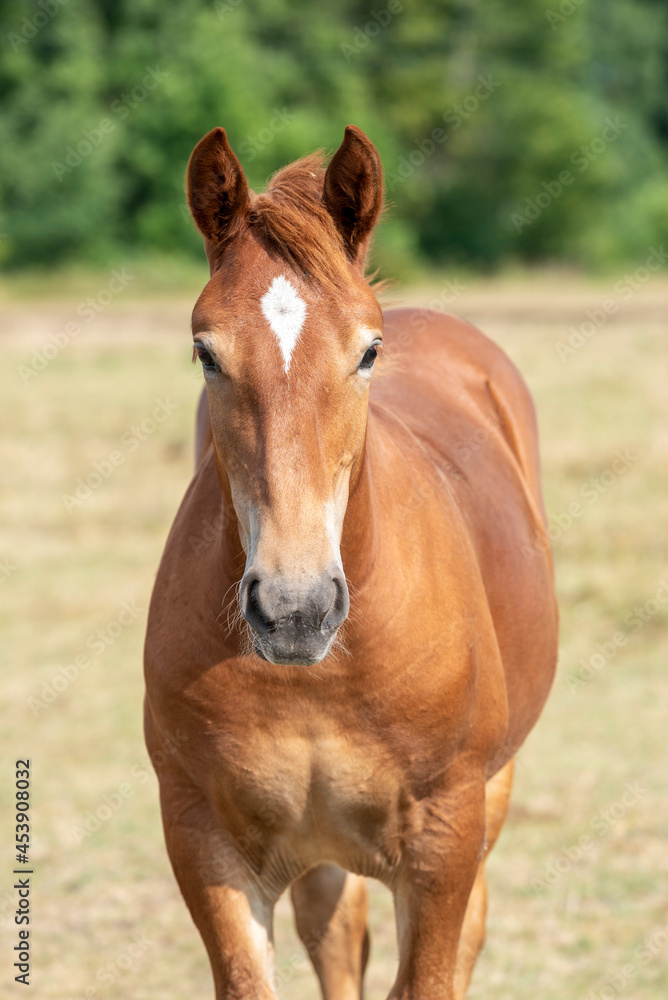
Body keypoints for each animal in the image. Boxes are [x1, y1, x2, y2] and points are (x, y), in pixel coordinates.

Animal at [143, 123, 558, 999]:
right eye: (205, 352)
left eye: (368, 351)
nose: (295, 609)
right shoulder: (204, 840)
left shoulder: (443, 840)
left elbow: (432, 970)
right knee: (336, 935)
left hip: (490, 795)